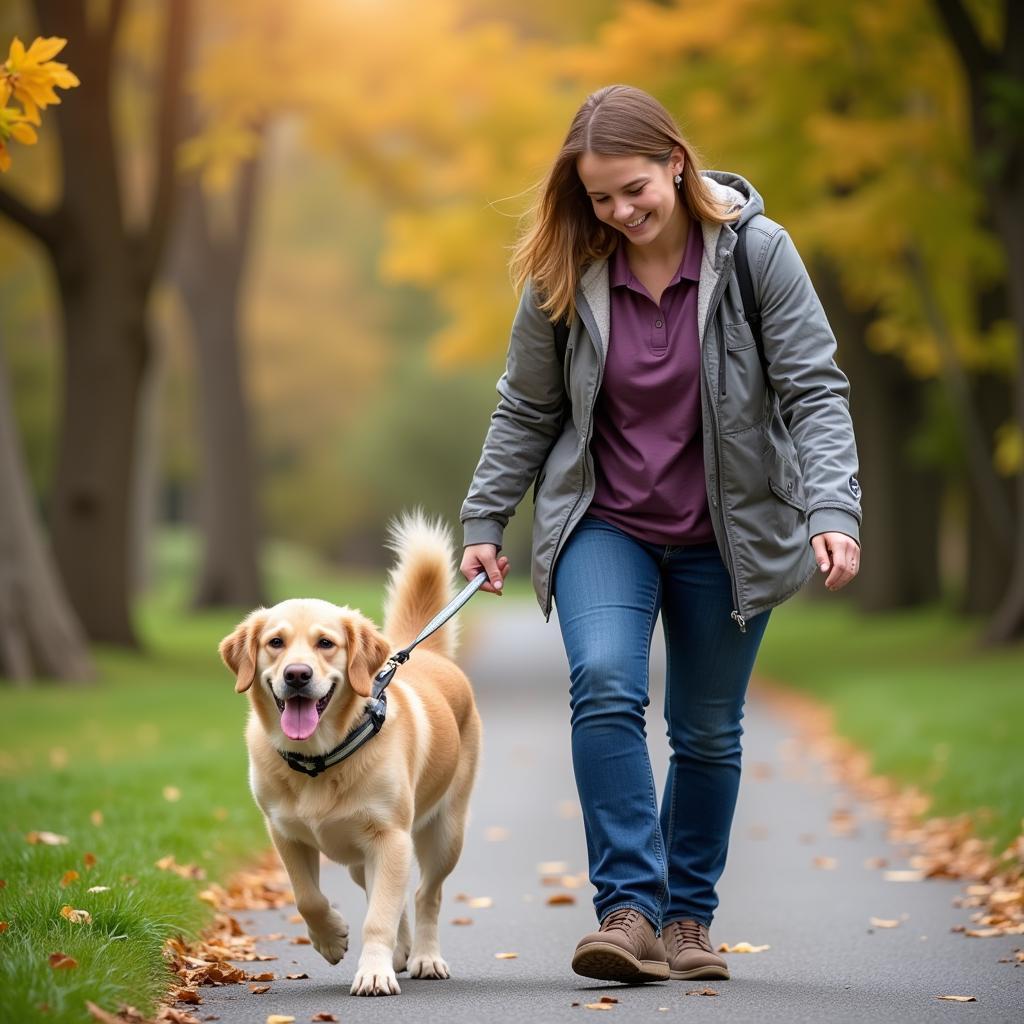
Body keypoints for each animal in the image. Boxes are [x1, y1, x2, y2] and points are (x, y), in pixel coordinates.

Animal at [218, 516, 481, 995]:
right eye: (276, 642)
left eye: (326, 643)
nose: (297, 675)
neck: (319, 759)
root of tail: (429, 654)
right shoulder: (285, 834)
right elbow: (307, 897)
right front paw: (331, 938)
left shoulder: (390, 837)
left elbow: (379, 916)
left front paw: (373, 972)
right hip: (362, 858)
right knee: (392, 897)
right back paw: (400, 951)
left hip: (445, 832)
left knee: (424, 894)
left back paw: (425, 957)